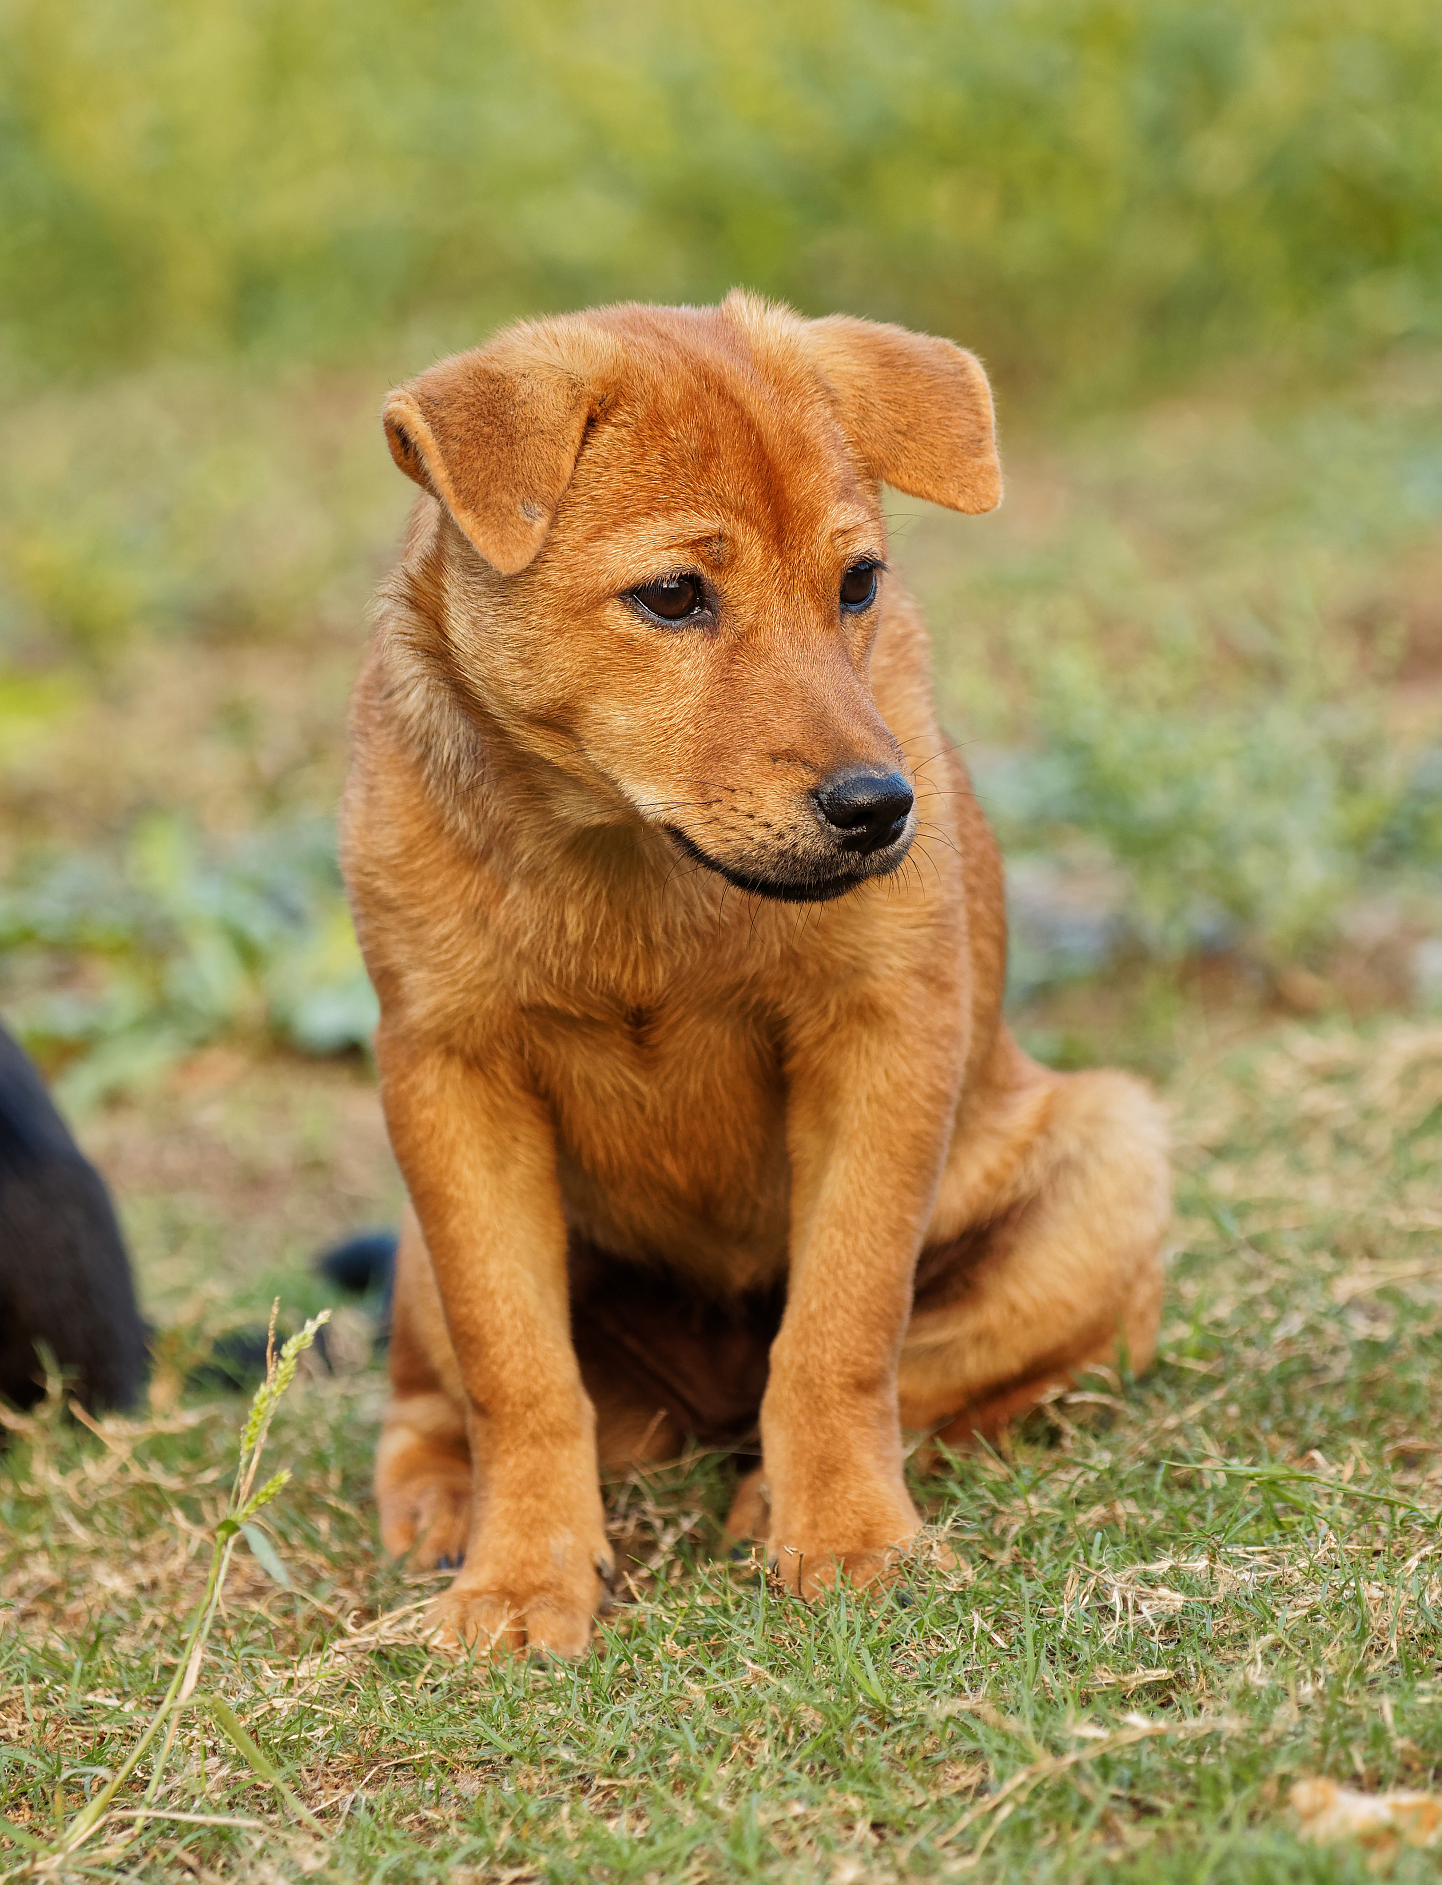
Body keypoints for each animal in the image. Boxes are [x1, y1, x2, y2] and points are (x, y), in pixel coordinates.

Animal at [341, 286, 1168, 1658]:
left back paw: (779, 1489)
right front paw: (519, 1579)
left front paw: (851, 1540)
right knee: (433, 1397)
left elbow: (840, 1330)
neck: (633, 861)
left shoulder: (882, 1039)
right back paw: (442, 1500)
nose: (877, 808)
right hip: (417, 1237)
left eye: (857, 584)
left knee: (936, 1377)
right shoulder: (447, 1072)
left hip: (1109, 1158)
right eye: (674, 595)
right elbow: (517, 1368)